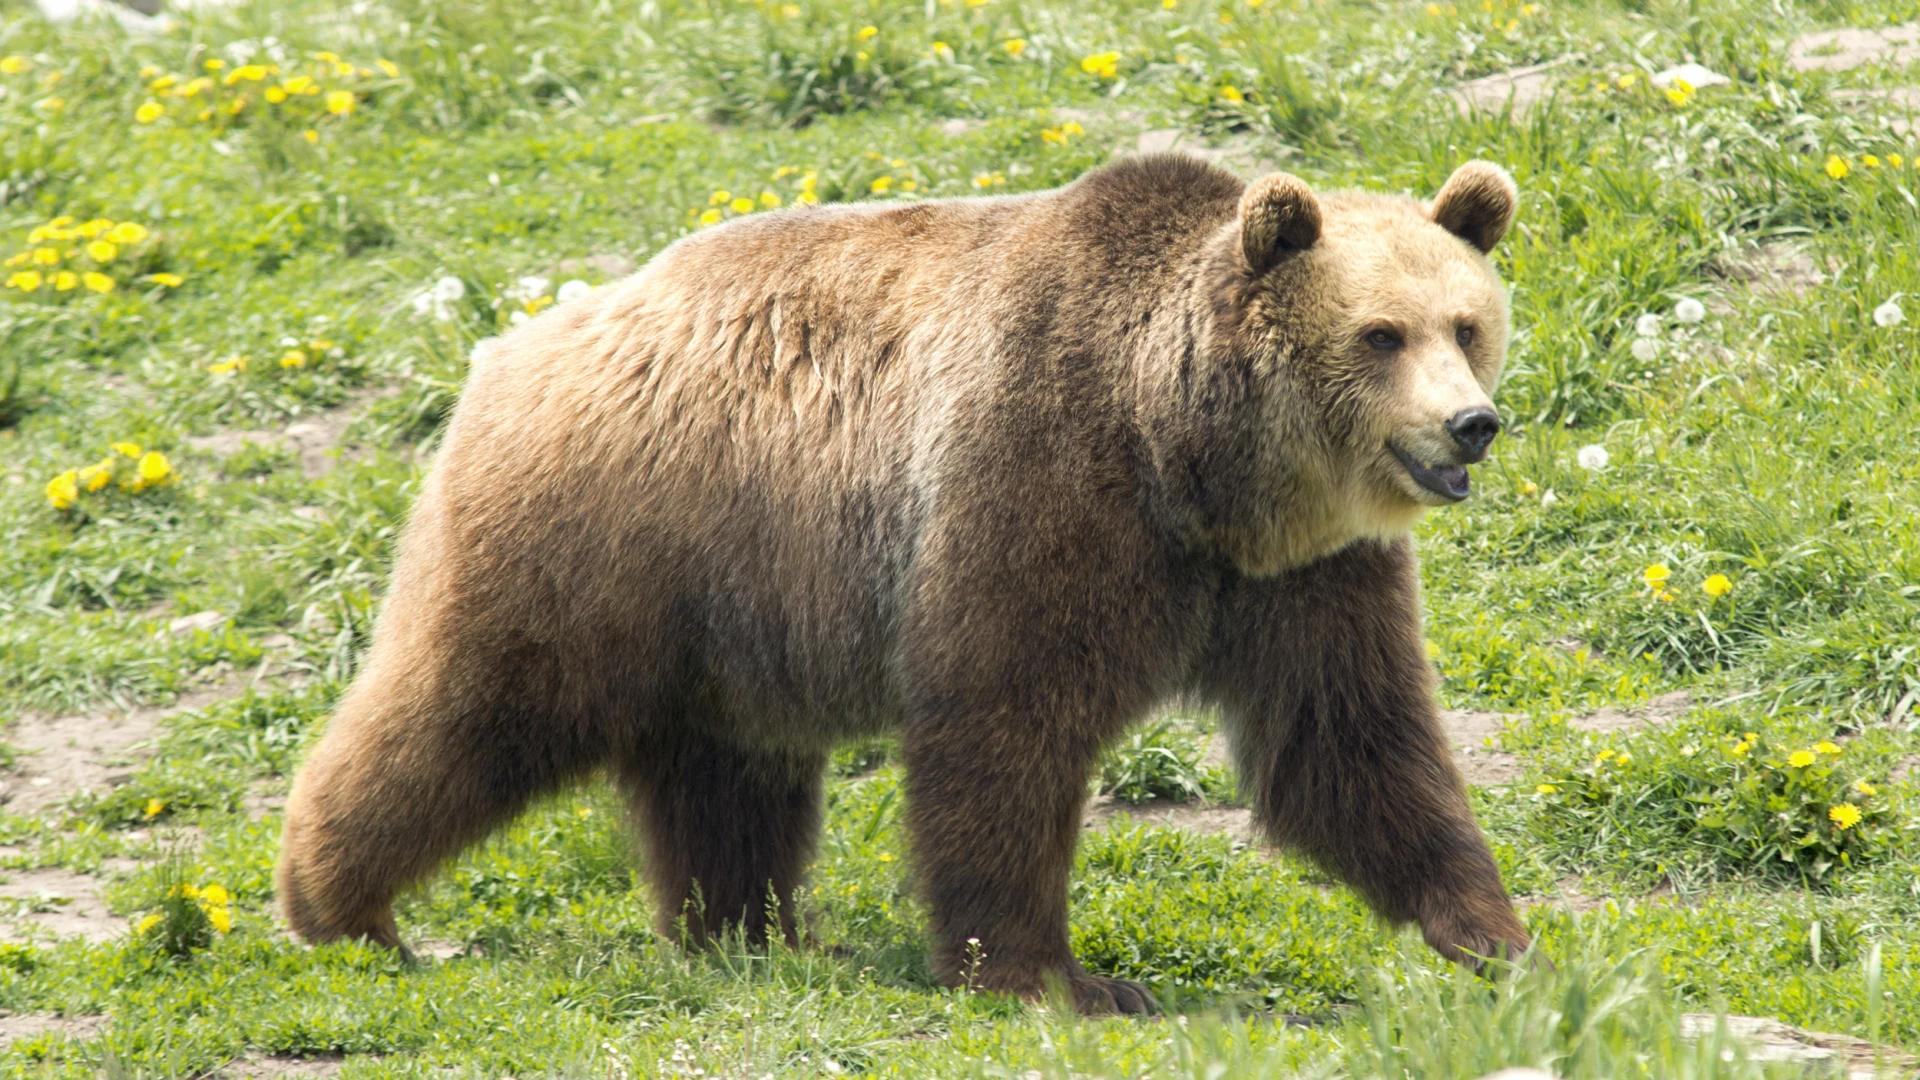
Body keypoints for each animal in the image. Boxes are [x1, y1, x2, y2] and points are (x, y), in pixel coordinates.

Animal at [278, 151, 1528, 1006]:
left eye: (1467, 322)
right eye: (1380, 334)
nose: (1471, 425)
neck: (1191, 462)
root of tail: (511, 344)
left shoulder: (1302, 579)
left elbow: (1350, 744)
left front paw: (1493, 933)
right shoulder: (1036, 483)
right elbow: (1001, 727)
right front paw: (1054, 976)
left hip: (734, 612)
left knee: (725, 780)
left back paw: (756, 936)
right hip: (600, 542)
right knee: (468, 709)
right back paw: (340, 905)